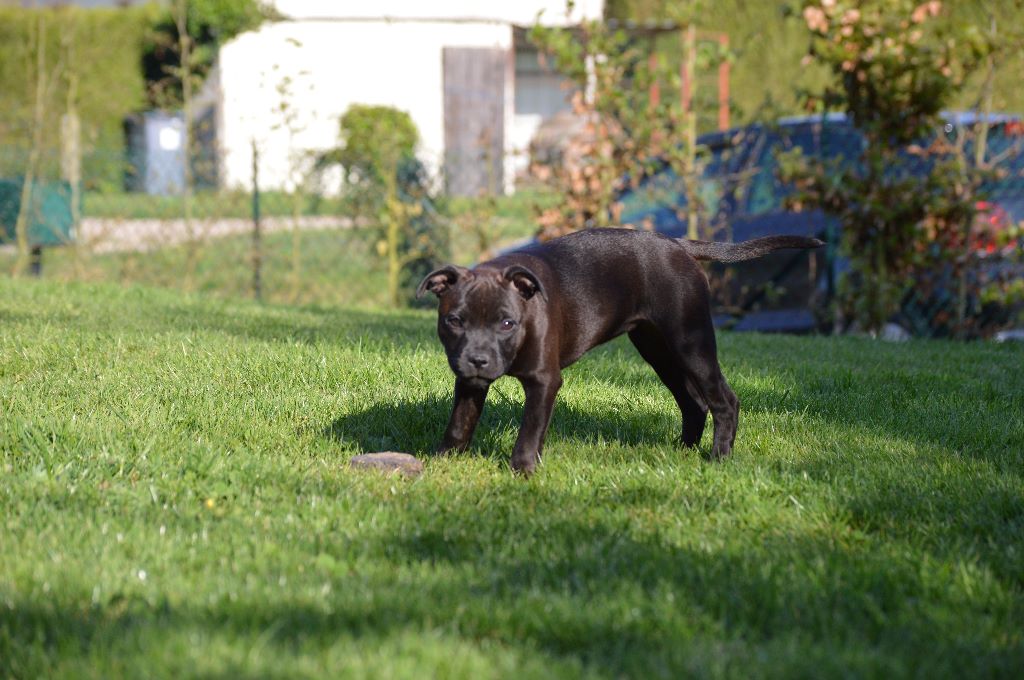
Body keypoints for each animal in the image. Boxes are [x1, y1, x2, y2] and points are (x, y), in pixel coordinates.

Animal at [415, 225, 823, 475]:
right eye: (454, 321)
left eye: (506, 324)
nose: (478, 359)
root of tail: (677, 244)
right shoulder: (470, 383)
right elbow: (460, 422)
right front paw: (443, 462)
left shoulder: (544, 381)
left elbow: (530, 429)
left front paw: (522, 471)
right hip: (658, 350)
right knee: (693, 402)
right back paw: (681, 451)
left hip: (691, 342)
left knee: (724, 400)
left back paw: (719, 458)